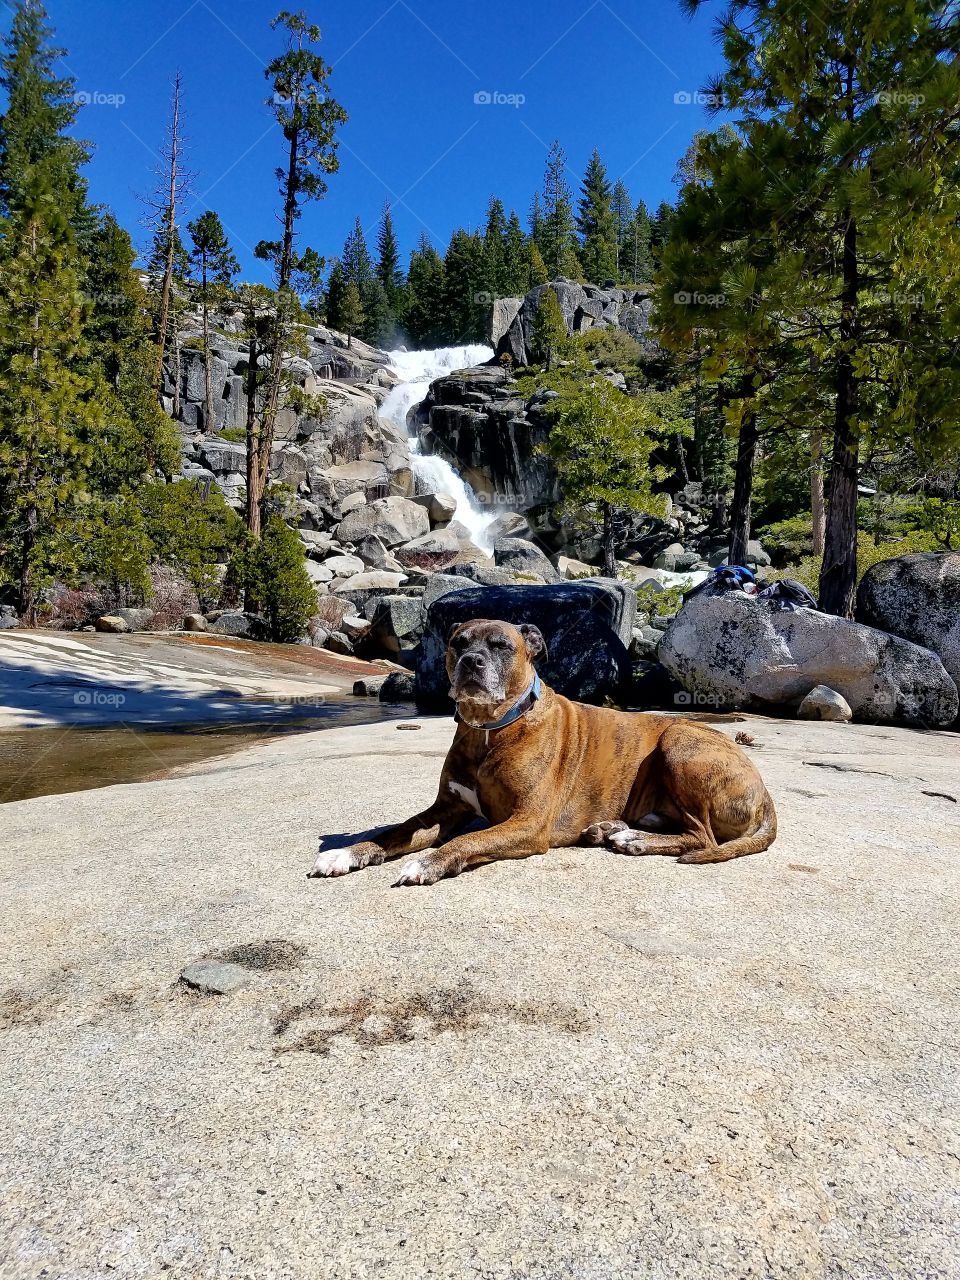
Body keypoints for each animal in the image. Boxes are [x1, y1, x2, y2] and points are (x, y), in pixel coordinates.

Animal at [312, 614, 778, 885]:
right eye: (459, 643)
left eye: (501, 646)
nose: (471, 661)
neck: (490, 730)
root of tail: (764, 790)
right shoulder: (444, 810)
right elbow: (393, 832)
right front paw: (345, 853)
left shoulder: (529, 822)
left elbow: (467, 841)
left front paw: (428, 863)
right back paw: (613, 830)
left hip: (679, 741)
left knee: (703, 837)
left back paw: (634, 841)